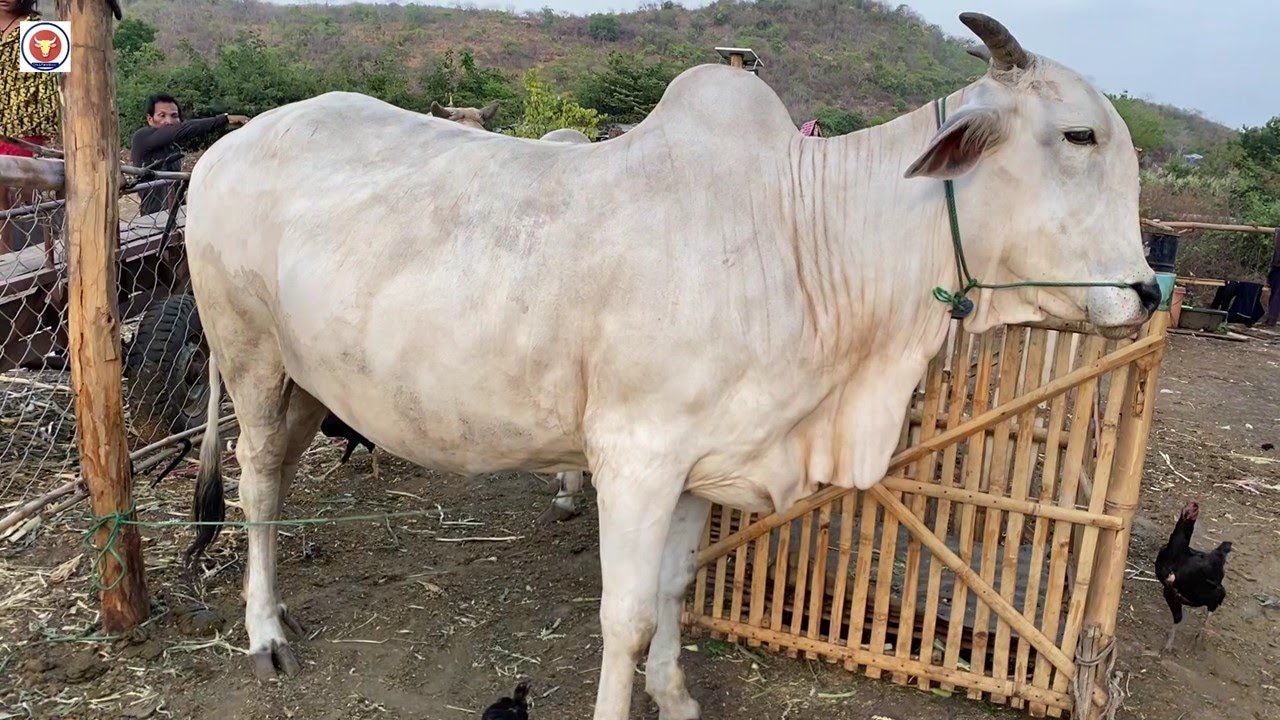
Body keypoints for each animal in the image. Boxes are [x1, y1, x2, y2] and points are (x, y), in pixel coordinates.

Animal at [182, 13, 1159, 720]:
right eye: (1077, 136)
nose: (1150, 293)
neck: (803, 236)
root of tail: (226, 146)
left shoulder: (701, 463)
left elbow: (675, 588)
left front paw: (675, 695)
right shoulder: (635, 456)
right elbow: (624, 616)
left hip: (309, 381)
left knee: (279, 477)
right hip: (249, 358)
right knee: (257, 480)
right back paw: (263, 632)